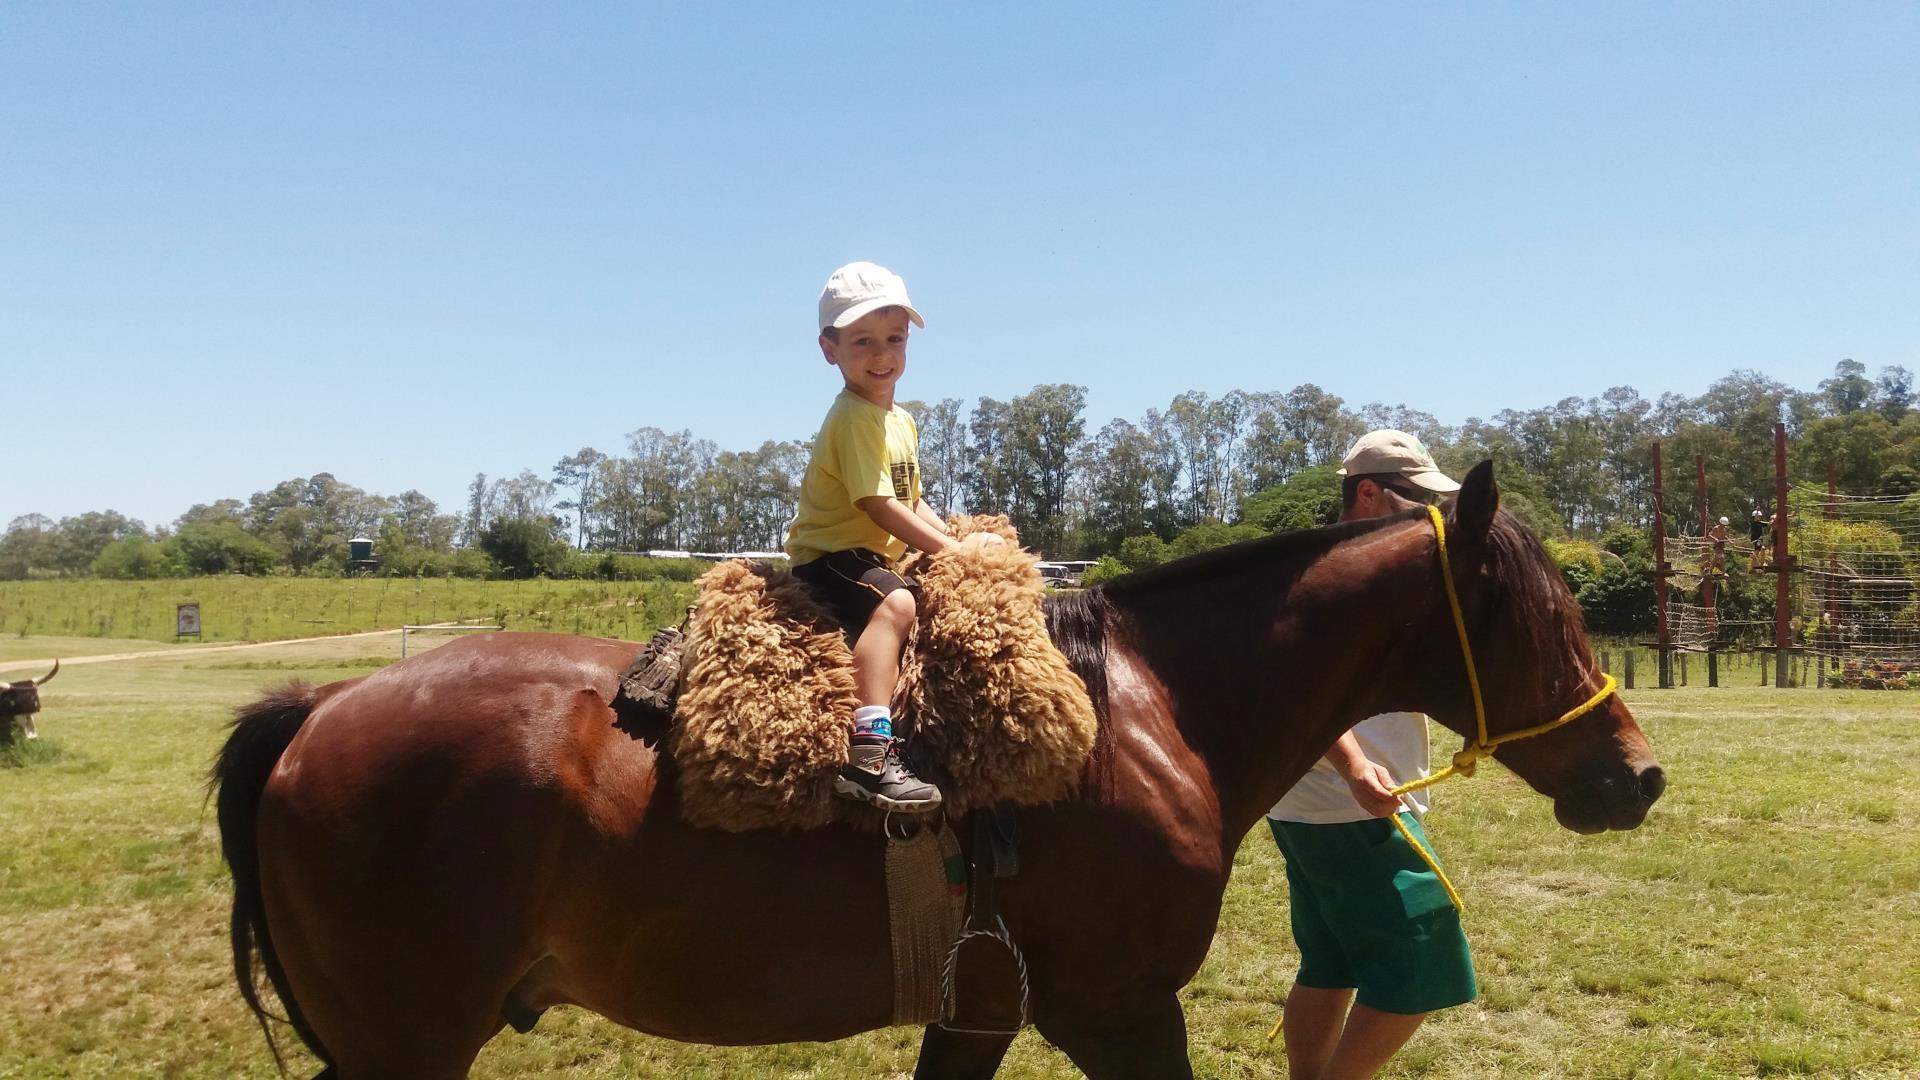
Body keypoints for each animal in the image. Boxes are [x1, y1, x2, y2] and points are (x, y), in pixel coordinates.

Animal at [214, 463, 1666, 1076]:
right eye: (1548, 616)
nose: (1638, 779)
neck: (1145, 706)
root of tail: (318, 712)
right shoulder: (1119, 1009)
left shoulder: (982, 1008)